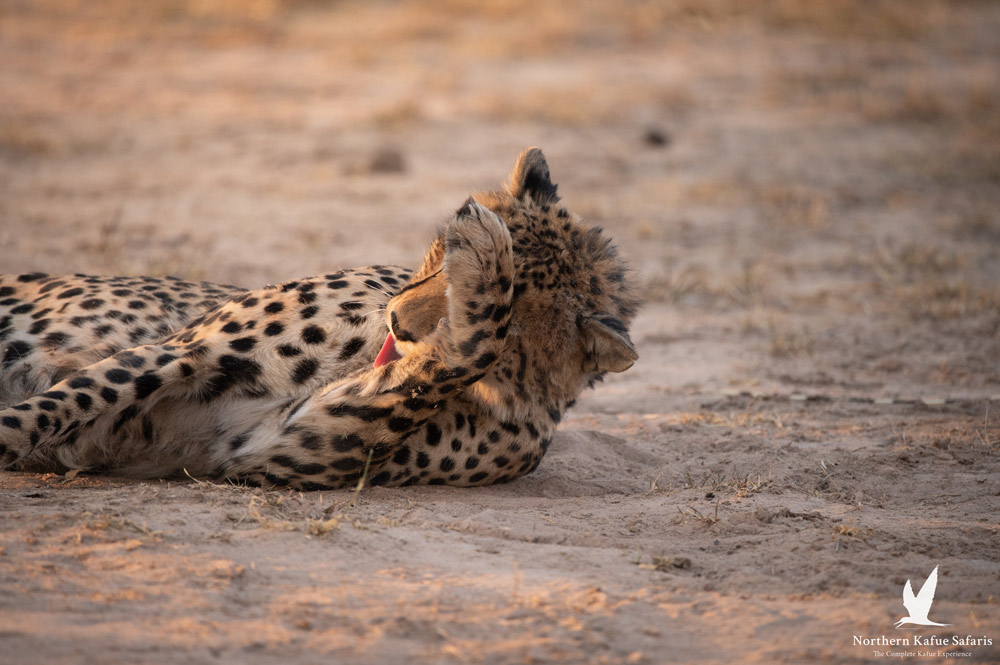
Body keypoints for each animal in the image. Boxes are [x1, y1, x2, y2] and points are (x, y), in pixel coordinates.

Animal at [0, 148, 640, 490]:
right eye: (440, 257)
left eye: (517, 321)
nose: (398, 323)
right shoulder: (187, 352)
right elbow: (60, 403)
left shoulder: (268, 450)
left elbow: (451, 360)